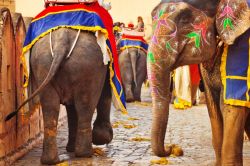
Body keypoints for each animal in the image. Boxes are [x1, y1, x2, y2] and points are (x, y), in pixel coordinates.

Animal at [19, 27, 112, 164]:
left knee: (50, 106)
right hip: (88, 67)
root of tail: (62, 41)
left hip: (43, 64)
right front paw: (103, 138)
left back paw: (51, 160)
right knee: (85, 106)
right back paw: (86, 154)